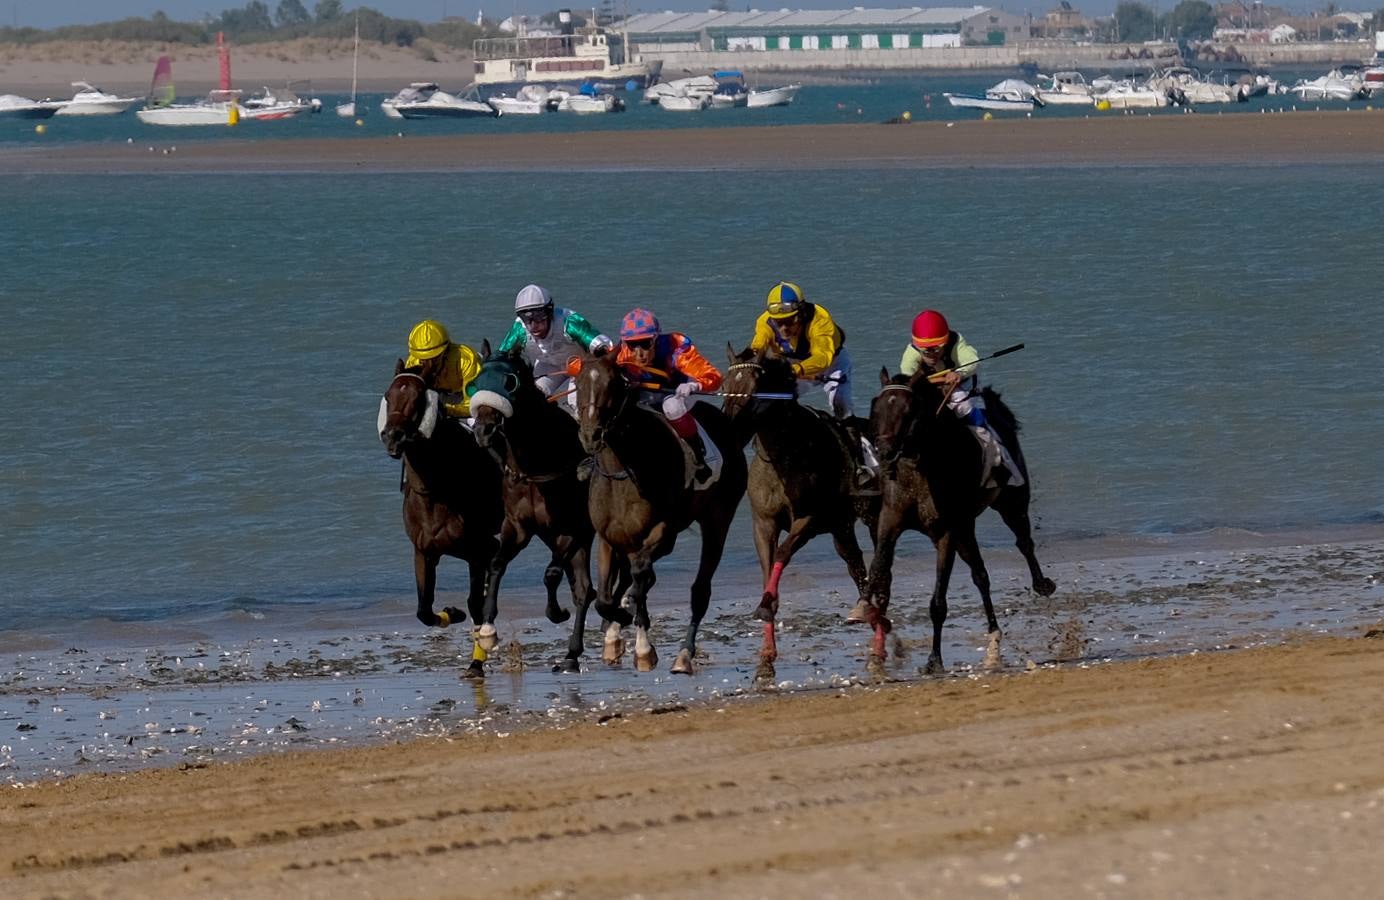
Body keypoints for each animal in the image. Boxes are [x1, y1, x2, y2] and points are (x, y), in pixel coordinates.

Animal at [379, 357, 503, 672]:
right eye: (388, 395)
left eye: (418, 399)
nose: (393, 437)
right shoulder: (423, 551)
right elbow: (424, 609)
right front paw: (451, 612)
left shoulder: (477, 550)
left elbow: (475, 602)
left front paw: (477, 661)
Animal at [470, 347, 611, 670]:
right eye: (477, 381)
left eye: (509, 382)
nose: (484, 430)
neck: (536, 466)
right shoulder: (518, 526)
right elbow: (496, 564)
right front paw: (487, 629)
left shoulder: (574, 527)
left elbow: (551, 573)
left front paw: (556, 612)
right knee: (583, 588)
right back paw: (572, 653)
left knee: (586, 588)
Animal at [572, 354, 747, 670]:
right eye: (578, 383)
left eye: (612, 384)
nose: (591, 434)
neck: (623, 470)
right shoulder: (608, 537)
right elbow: (604, 597)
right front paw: (616, 630)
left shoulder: (663, 530)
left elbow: (639, 575)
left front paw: (643, 647)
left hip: (718, 520)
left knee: (699, 590)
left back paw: (684, 654)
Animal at [725, 347, 874, 661]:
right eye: (725, 383)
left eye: (754, 390)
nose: (728, 432)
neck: (785, 455)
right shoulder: (764, 522)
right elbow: (768, 564)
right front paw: (767, 620)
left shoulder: (810, 520)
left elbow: (783, 552)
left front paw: (766, 605)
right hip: (842, 526)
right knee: (854, 561)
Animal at [869, 368, 1051, 670]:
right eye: (877, 408)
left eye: (907, 410)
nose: (884, 452)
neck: (920, 470)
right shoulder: (891, 520)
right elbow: (878, 569)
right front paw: (867, 614)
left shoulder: (946, 532)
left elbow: (938, 602)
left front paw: (934, 659)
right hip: (967, 529)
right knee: (981, 576)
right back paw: (993, 639)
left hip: (1010, 502)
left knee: (1024, 542)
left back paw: (1042, 584)